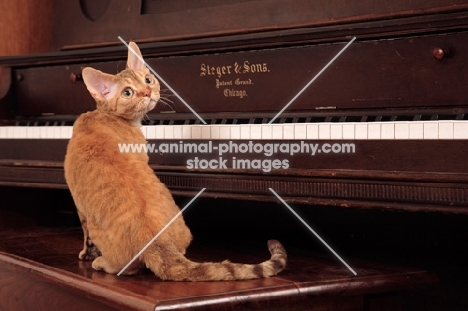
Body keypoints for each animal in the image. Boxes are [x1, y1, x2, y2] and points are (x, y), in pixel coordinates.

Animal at [64, 42, 288, 282]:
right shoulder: (79, 204)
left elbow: (85, 235)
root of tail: (156, 242)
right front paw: (87, 253)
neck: (103, 115)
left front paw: (87, 254)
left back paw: (100, 261)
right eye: (127, 92)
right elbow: (86, 235)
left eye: (148, 80)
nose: (148, 92)